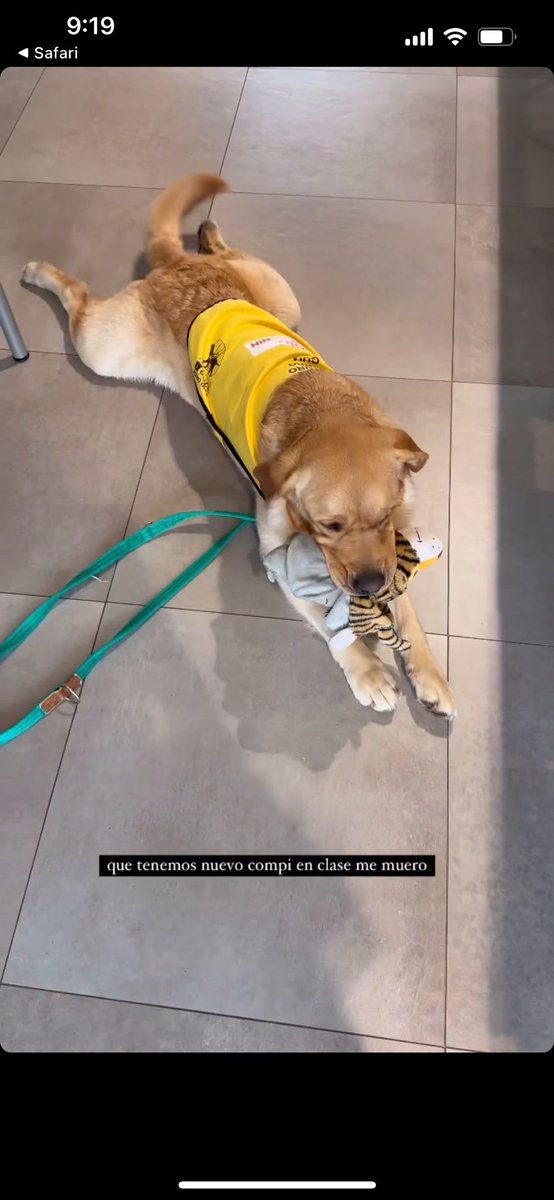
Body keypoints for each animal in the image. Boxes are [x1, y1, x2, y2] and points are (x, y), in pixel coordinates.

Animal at [21, 174, 453, 715]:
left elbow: (409, 613)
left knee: (226, 251)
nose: (371, 586)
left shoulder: (389, 547)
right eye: (329, 526)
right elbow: (333, 626)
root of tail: (174, 263)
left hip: (280, 296)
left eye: (386, 514)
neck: (322, 411)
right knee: (78, 298)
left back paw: (209, 233)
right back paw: (41, 272)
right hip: (104, 349)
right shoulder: (277, 555)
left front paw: (429, 674)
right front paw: (368, 672)